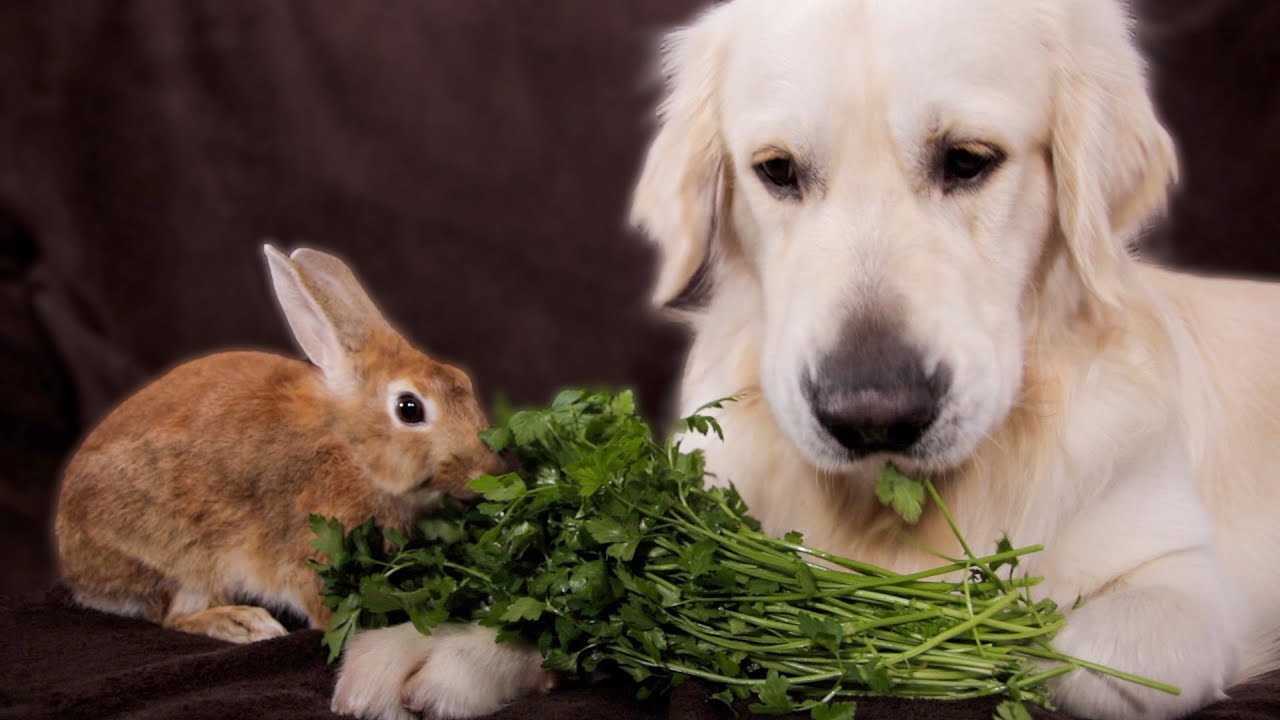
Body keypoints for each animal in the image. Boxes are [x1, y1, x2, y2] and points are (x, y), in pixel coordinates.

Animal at [53, 244, 507, 644]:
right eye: (409, 408)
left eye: (462, 380)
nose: (489, 471)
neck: (351, 449)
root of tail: (75, 565)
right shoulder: (308, 551)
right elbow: (322, 603)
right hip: (184, 559)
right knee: (175, 614)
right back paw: (245, 624)